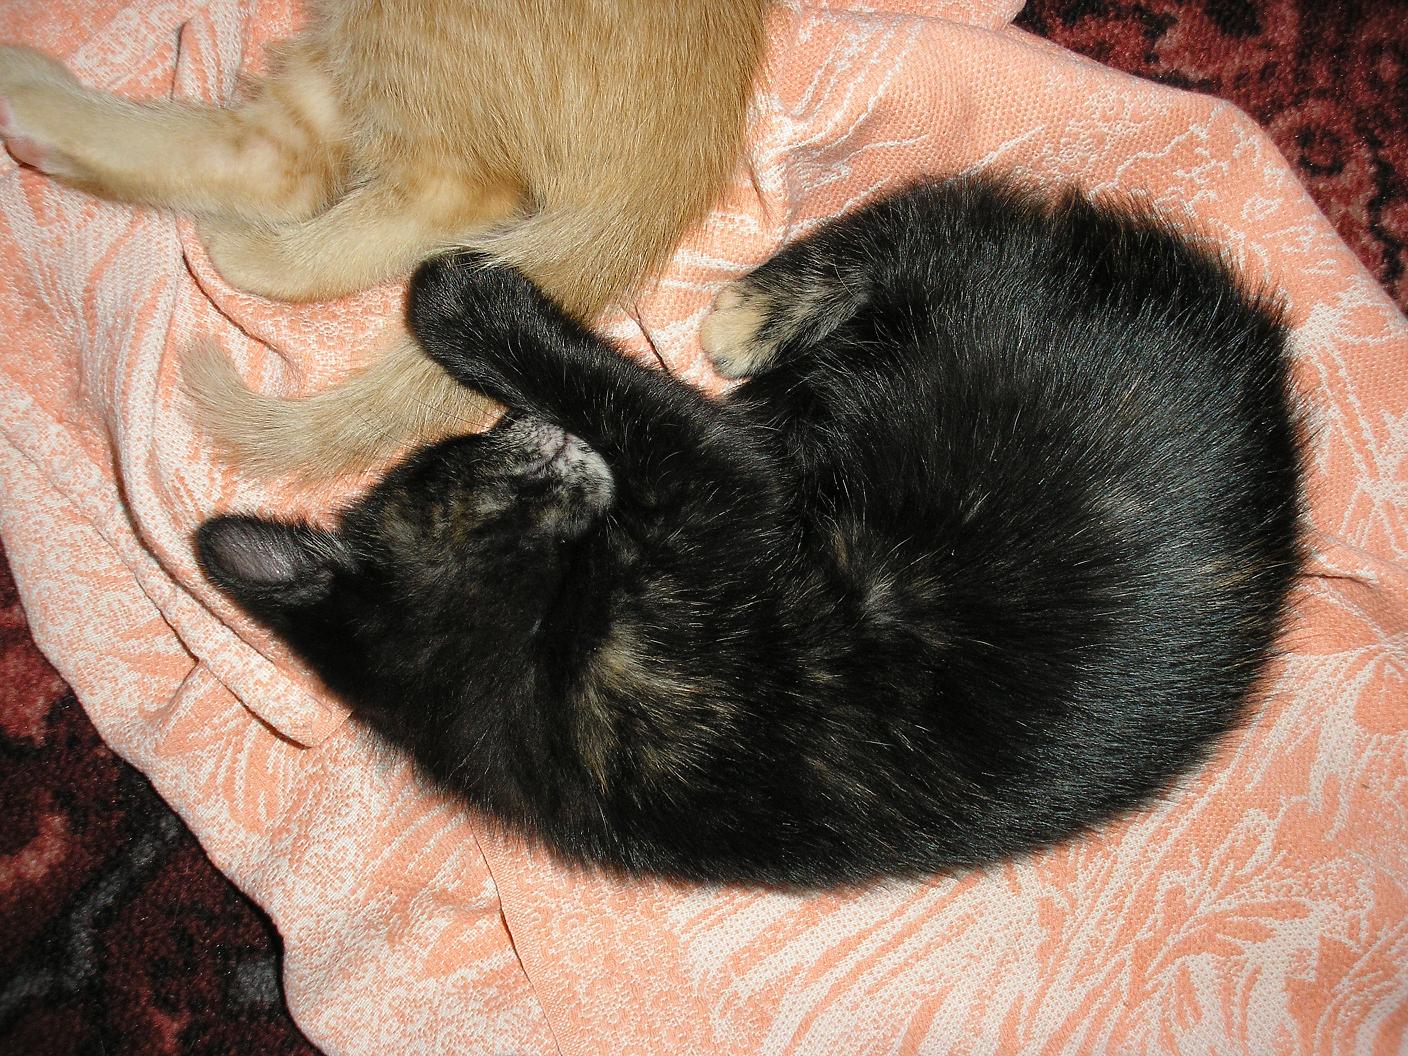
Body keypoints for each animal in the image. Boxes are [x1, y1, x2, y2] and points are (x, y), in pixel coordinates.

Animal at [195, 175, 1305, 888]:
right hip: (997, 317)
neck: (525, 665)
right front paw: (459, 298)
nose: (512, 429)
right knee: (947, 228)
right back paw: (755, 321)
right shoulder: (731, 499)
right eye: (471, 459)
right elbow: (648, 407)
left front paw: (465, 309)